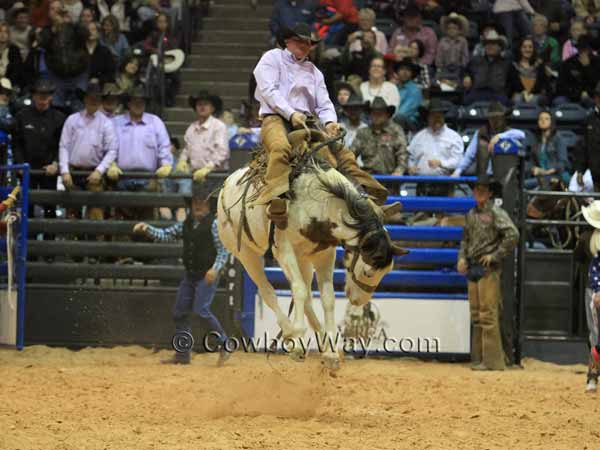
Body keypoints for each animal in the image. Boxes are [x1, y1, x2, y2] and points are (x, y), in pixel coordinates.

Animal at [218, 128, 406, 368]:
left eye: (387, 271)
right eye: (367, 271)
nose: (358, 301)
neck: (320, 202)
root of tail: (227, 183)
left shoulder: (324, 254)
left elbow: (326, 297)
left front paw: (331, 352)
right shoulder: (285, 251)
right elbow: (297, 290)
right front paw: (297, 339)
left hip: (304, 259)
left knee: (306, 295)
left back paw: (321, 341)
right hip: (245, 253)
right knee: (269, 291)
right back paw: (291, 334)